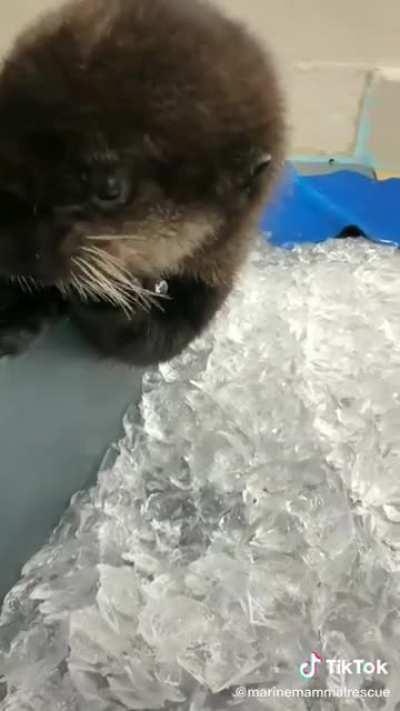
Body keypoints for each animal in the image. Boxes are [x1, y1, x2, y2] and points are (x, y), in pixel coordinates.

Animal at [0, 0, 285, 365]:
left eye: (110, 188)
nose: (9, 242)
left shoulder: (222, 256)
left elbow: (163, 335)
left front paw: (104, 300)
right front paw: (15, 318)